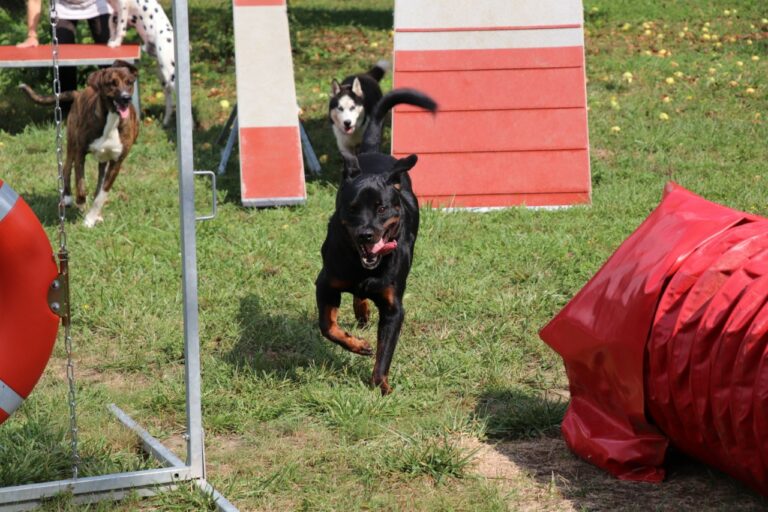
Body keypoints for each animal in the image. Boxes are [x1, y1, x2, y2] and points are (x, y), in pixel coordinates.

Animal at [19, 60, 140, 226]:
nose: (126, 98)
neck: (111, 119)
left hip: (102, 161)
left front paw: (91, 218)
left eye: (129, 82)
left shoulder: (117, 162)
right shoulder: (80, 153)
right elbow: (80, 183)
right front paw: (81, 203)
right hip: (71, 142)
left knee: (98, 181)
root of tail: (79, 93)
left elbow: (101, 194)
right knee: (66, 169)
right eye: (112, 83)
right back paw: (68, 198)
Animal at [316, 88, 438, 394]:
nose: (366, 234)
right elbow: (328, 326)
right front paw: (358, 345)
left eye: (381, 208)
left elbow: (386, 350)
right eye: (352, 208)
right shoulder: (326, 282)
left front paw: (381, 385)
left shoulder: (393, 307)